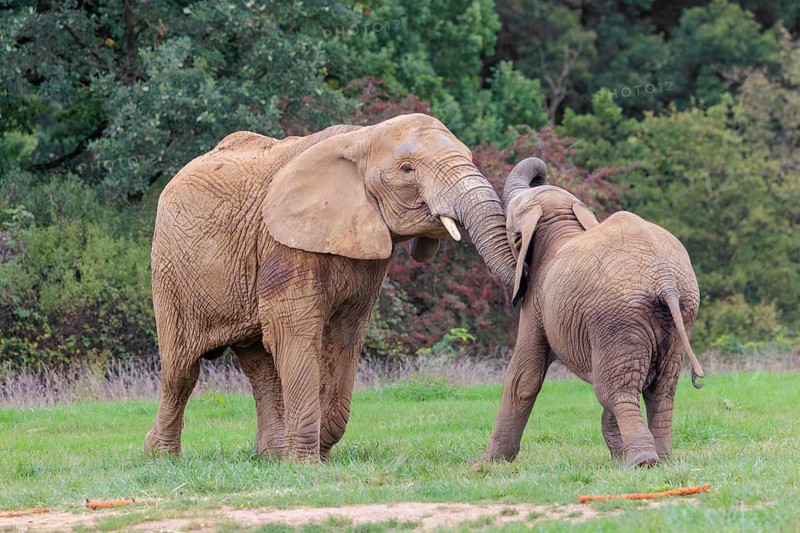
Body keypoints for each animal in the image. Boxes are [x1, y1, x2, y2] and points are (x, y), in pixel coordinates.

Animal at [145, 113, 518, 462]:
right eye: (408, 169)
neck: (362, 136)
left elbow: (345, 336)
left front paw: (314, 455)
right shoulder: (285, 242)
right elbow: (294, 331)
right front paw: (304, 464)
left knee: (260, 368)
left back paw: (269, 456)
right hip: (171, 269)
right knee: (181, 369)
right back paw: (160, 455)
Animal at [483, 157, 705, 468]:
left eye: (510, 230)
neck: (560, 224)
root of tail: (665, 280)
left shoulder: (536, 302)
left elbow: (523, 378)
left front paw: (485, 465)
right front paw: (616, 455)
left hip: (618, 318)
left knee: (615, 390)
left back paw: (643, 462)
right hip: (681, 314)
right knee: (661, 388)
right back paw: (662, 458)